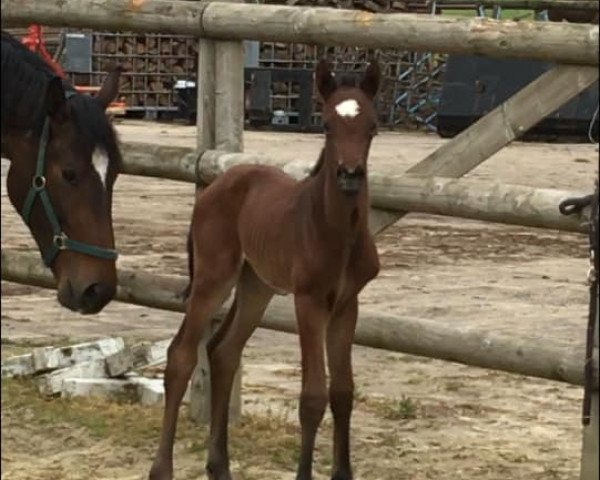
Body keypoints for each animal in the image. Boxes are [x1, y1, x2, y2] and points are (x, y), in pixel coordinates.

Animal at [150, 60, 382, 480]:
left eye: (372, 126)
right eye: (326, 125)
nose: (350, 174)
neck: (335, 230)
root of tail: (214, 184)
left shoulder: (346, 304)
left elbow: (343, 391)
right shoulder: (309, 301)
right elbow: (312, 396)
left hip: (256, 285)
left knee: (223, 351)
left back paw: (219, 466)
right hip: (214, 278)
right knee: (181, 356)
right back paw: (162, 469)